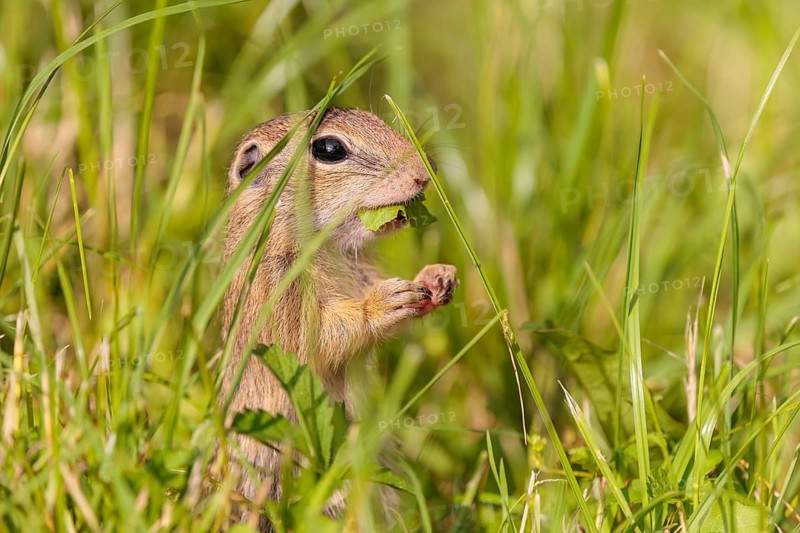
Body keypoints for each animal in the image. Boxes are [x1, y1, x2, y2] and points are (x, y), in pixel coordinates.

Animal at [218, 107, 459, 529]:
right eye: (329, 149)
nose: (423, 171)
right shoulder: (277, 295)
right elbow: (318, 338)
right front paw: (384, 303)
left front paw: (437, 276)